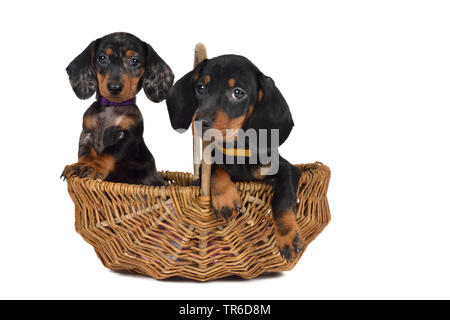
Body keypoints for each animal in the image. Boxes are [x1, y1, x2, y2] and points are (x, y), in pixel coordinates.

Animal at [59, 32, 172, 185]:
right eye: (102, 58)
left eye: (134, 61)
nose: (114, 87)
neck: (112, 106)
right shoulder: (86, 133)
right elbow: (85, 152)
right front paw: (79, 165)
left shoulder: (127, 137)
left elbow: (108, 153)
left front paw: (94, 167)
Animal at [167, 53, 304, 262]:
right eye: (201, 87)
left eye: (238, 93)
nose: (199, 122)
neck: (237, 151)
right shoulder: (203, 170)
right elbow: (215, 168)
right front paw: (225, 198)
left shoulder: (288, 170)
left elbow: (281, 201)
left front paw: (288, 237)